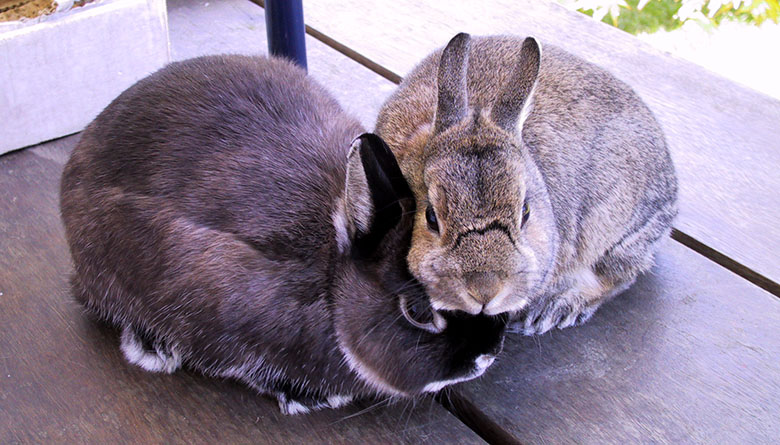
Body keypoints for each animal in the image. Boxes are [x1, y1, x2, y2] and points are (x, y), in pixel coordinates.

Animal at [376, 33, 676, 332]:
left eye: (525, 212)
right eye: (431, 217)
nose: (485, 291)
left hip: (618, 232)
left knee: (615, 277)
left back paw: (555, 309)